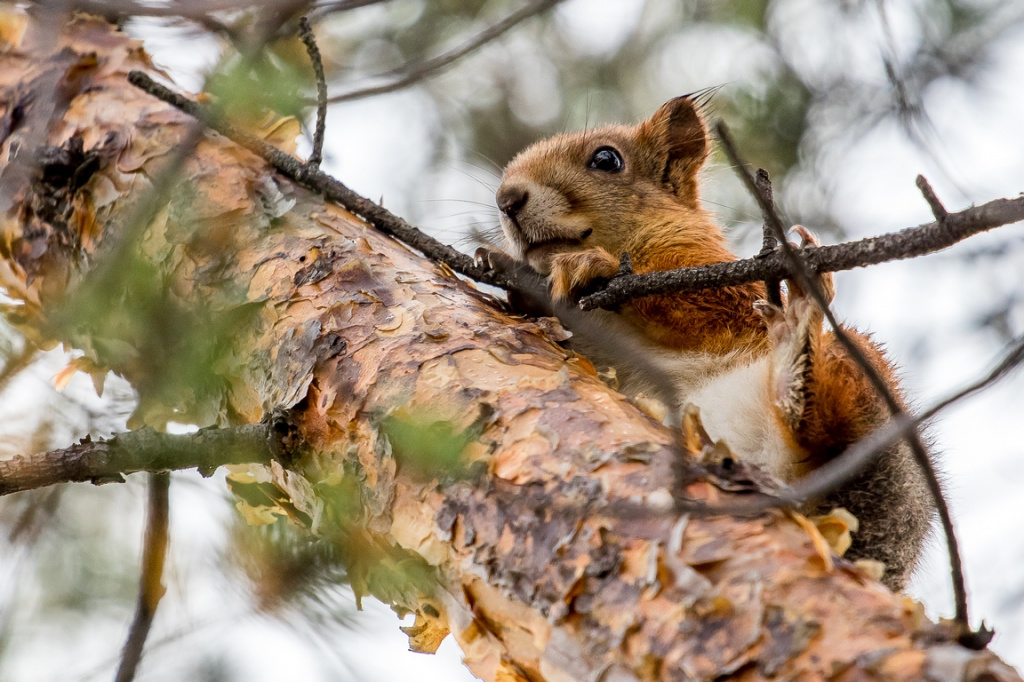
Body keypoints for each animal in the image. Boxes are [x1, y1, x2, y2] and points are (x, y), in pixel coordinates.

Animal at [478, 94, 934, 591]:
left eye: (606, 160)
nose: (506, 200)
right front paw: (511, 274)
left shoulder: (724, 289)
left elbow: (701, 303)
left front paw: (593, 265)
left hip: (863, 394)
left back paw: (798, 344)